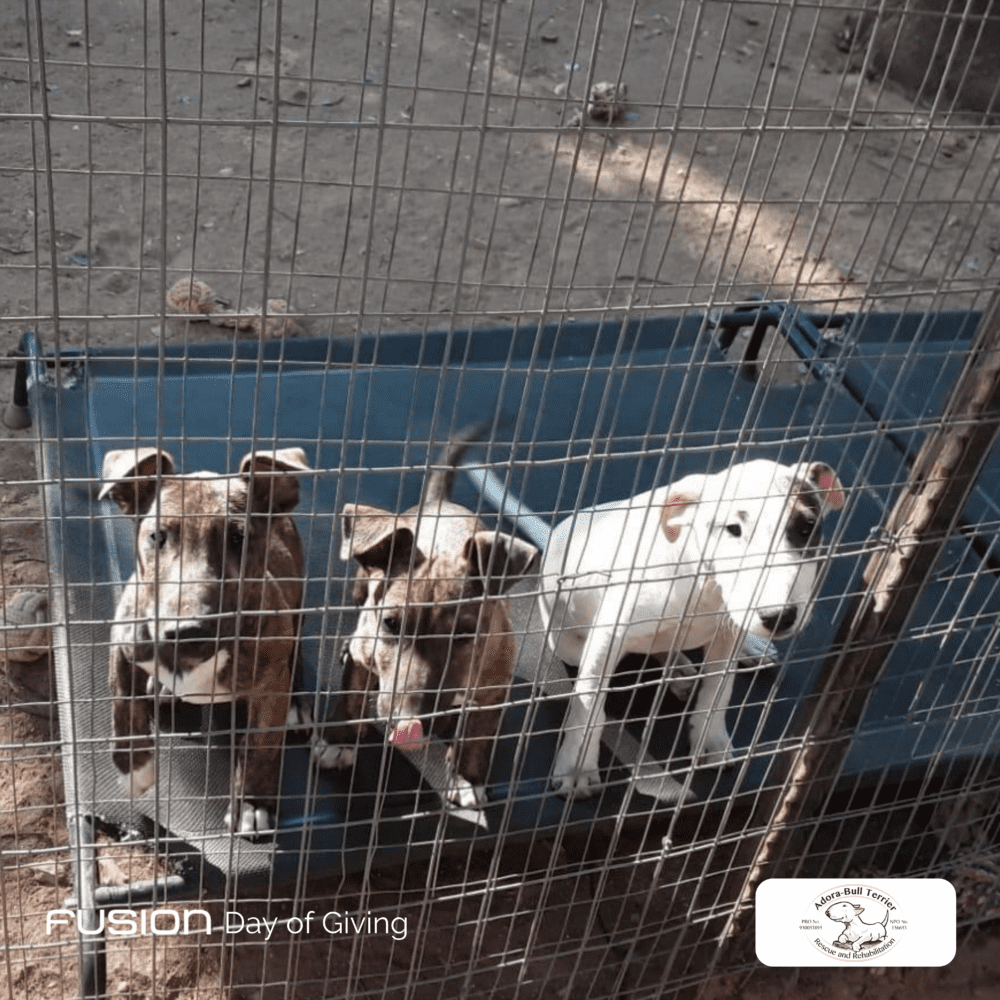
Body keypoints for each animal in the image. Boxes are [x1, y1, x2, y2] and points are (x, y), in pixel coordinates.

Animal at [99, 446, 311, 835]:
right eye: (157, 537)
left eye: (239, 539)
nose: (187, 630)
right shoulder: (123, 642)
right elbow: (123, 705)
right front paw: (135, 769)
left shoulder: (269, 685)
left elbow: (262, 745)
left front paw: (252, 803)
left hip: (297, 609)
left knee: (297, 653)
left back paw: (298, 705)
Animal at [311, 437, 538, 808]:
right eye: (390, 623)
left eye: (464, 633)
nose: (408, 724)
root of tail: (439, 502)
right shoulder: (365, 650)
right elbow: (351, 695)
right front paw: (338, 740)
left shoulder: (495, 685)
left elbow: (479, 733)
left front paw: (467, 777)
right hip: (360, 583)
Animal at [536, 458, 845, 797]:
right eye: (732, 529)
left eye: (807, 528)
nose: (779, 617)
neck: (705, 587)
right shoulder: (607, 638)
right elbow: (590, 705)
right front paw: (577, 766)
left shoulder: (726, 636)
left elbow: (719, 690)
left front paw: (710, 740)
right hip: (568, 644)